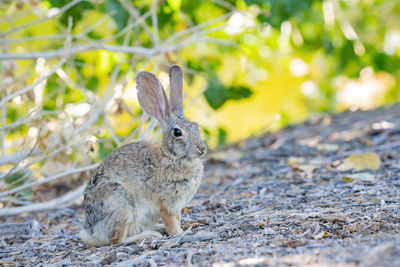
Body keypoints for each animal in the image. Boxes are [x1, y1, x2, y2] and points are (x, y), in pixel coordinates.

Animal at [79, 65, 208, 247]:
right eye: (177, 132)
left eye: (196, 127)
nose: (202, 149)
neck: (172, 157)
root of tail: (92, 232)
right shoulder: (167, 203)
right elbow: (171, 221)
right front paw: (180, 233)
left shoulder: (178, 205)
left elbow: (177, 218)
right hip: (121, 203)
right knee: (116, 240)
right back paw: (149, 235)